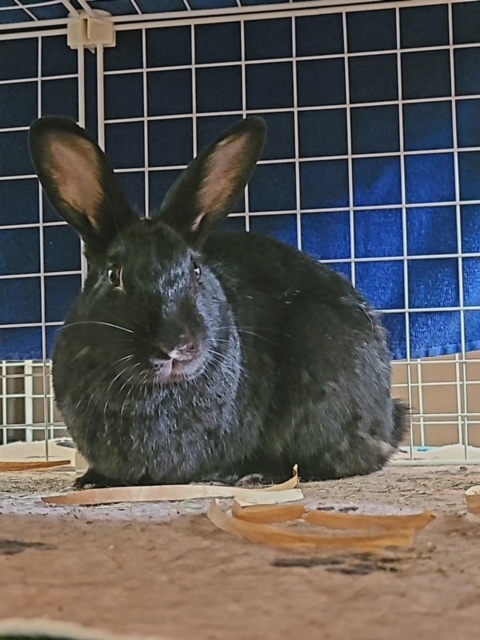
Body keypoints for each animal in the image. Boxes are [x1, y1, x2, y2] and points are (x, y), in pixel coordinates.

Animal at [28, 115, 408, 489]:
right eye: (113, 275)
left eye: (196, 269)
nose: (175, 346)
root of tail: (391, 418)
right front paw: (91, 480)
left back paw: (253, 475)